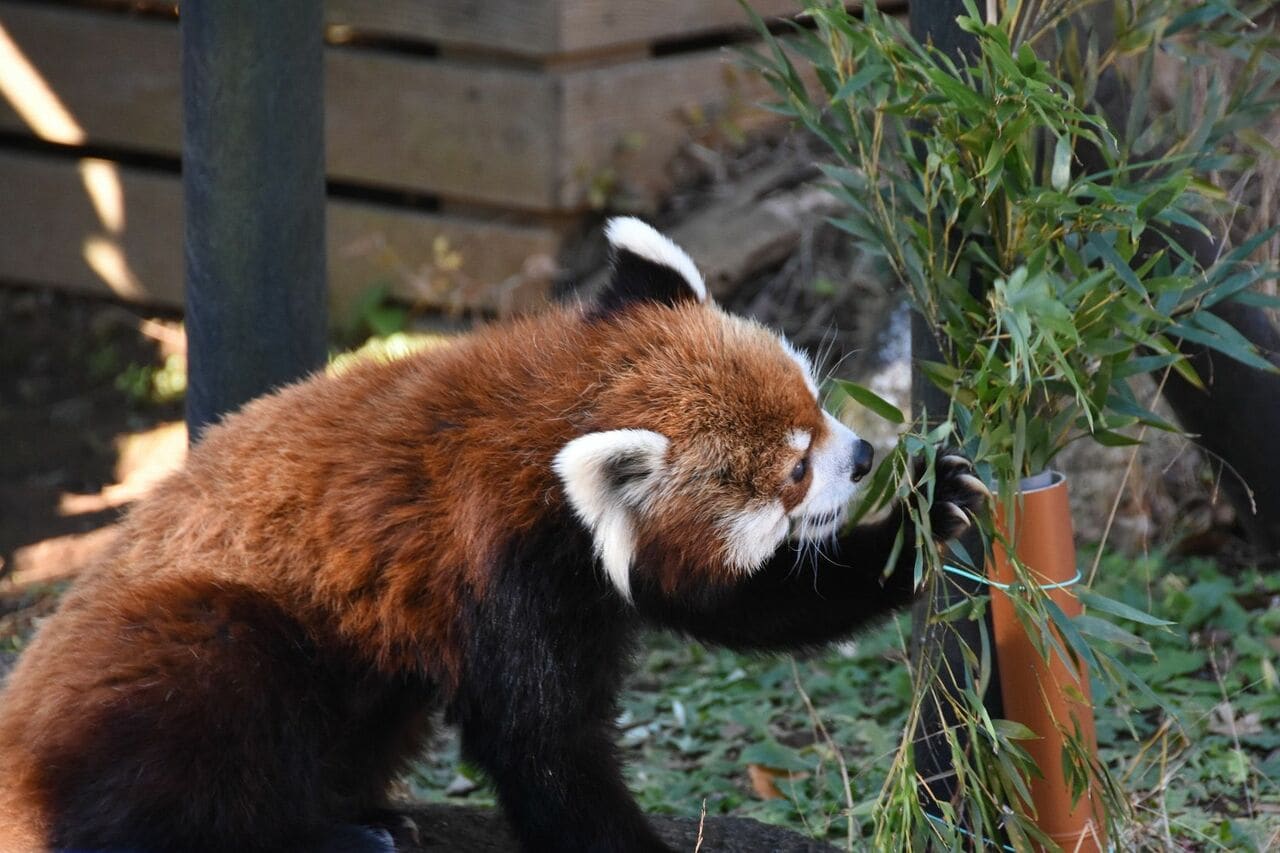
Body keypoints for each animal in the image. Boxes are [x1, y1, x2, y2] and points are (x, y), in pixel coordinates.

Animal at [0, 216, 988, 845]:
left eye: (818, 403)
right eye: (793, 472)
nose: (863, 455)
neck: (549, 416)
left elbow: (748, 604)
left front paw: (931, 507)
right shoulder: (500, 564)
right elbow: (541, 744)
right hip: (179, 648)